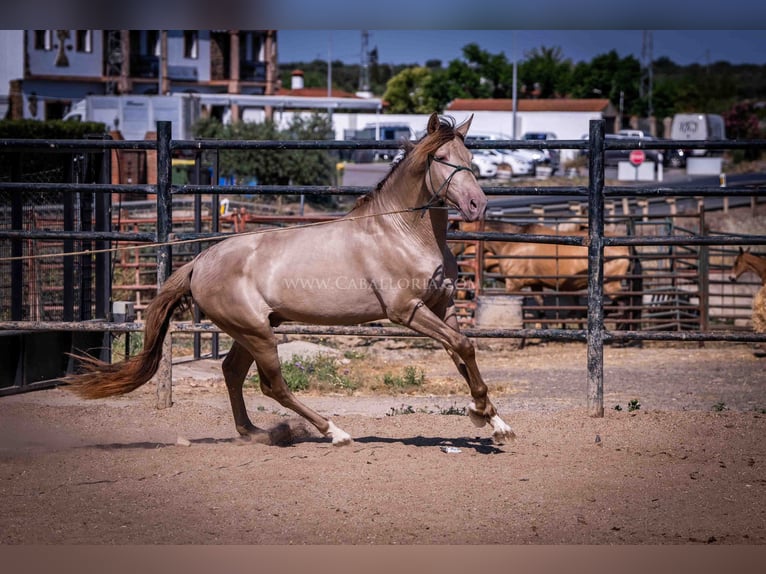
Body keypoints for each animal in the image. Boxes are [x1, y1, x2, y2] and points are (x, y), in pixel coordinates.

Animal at [66, 115, 516, 450]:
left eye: (469, 155)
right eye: (440, 157)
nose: (477, 204)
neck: (402, 232)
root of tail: (199, 261)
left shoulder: (443, 307)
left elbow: (462, 354)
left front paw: (493, 421)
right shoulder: (406, 312)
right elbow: (464, 347)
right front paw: (481, 413)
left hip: (253, 330)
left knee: (232, 372)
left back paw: (258, 433)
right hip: (258, 333)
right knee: (273, 386)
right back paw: (333, 432)